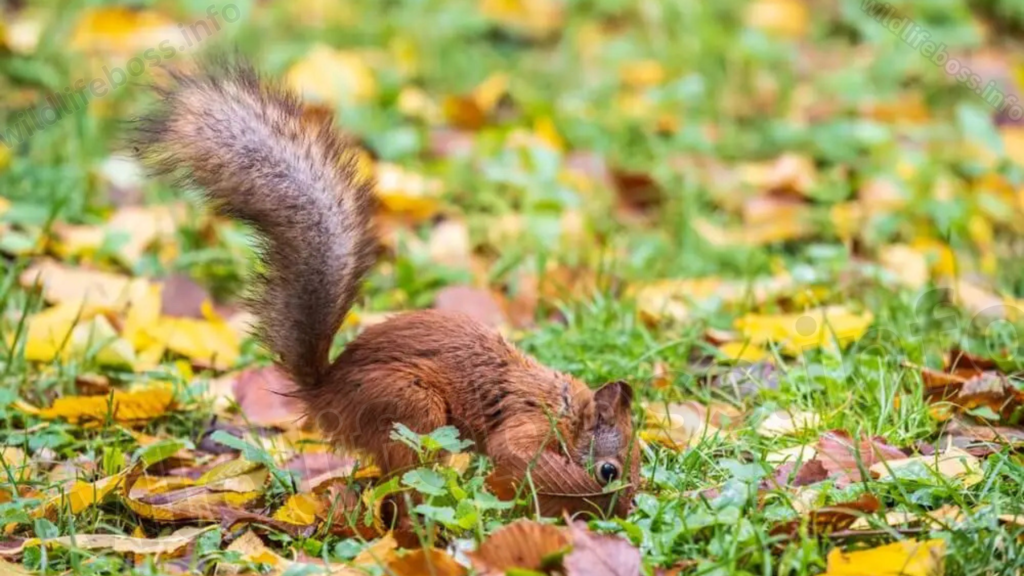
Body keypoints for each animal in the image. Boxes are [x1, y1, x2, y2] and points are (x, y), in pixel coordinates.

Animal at [130, 57, 638, 516]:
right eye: (609, 470)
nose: (626, 509)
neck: (567, 410)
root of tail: (325, 392)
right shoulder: (529, 423)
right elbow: (513, 453)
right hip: (411, 407)